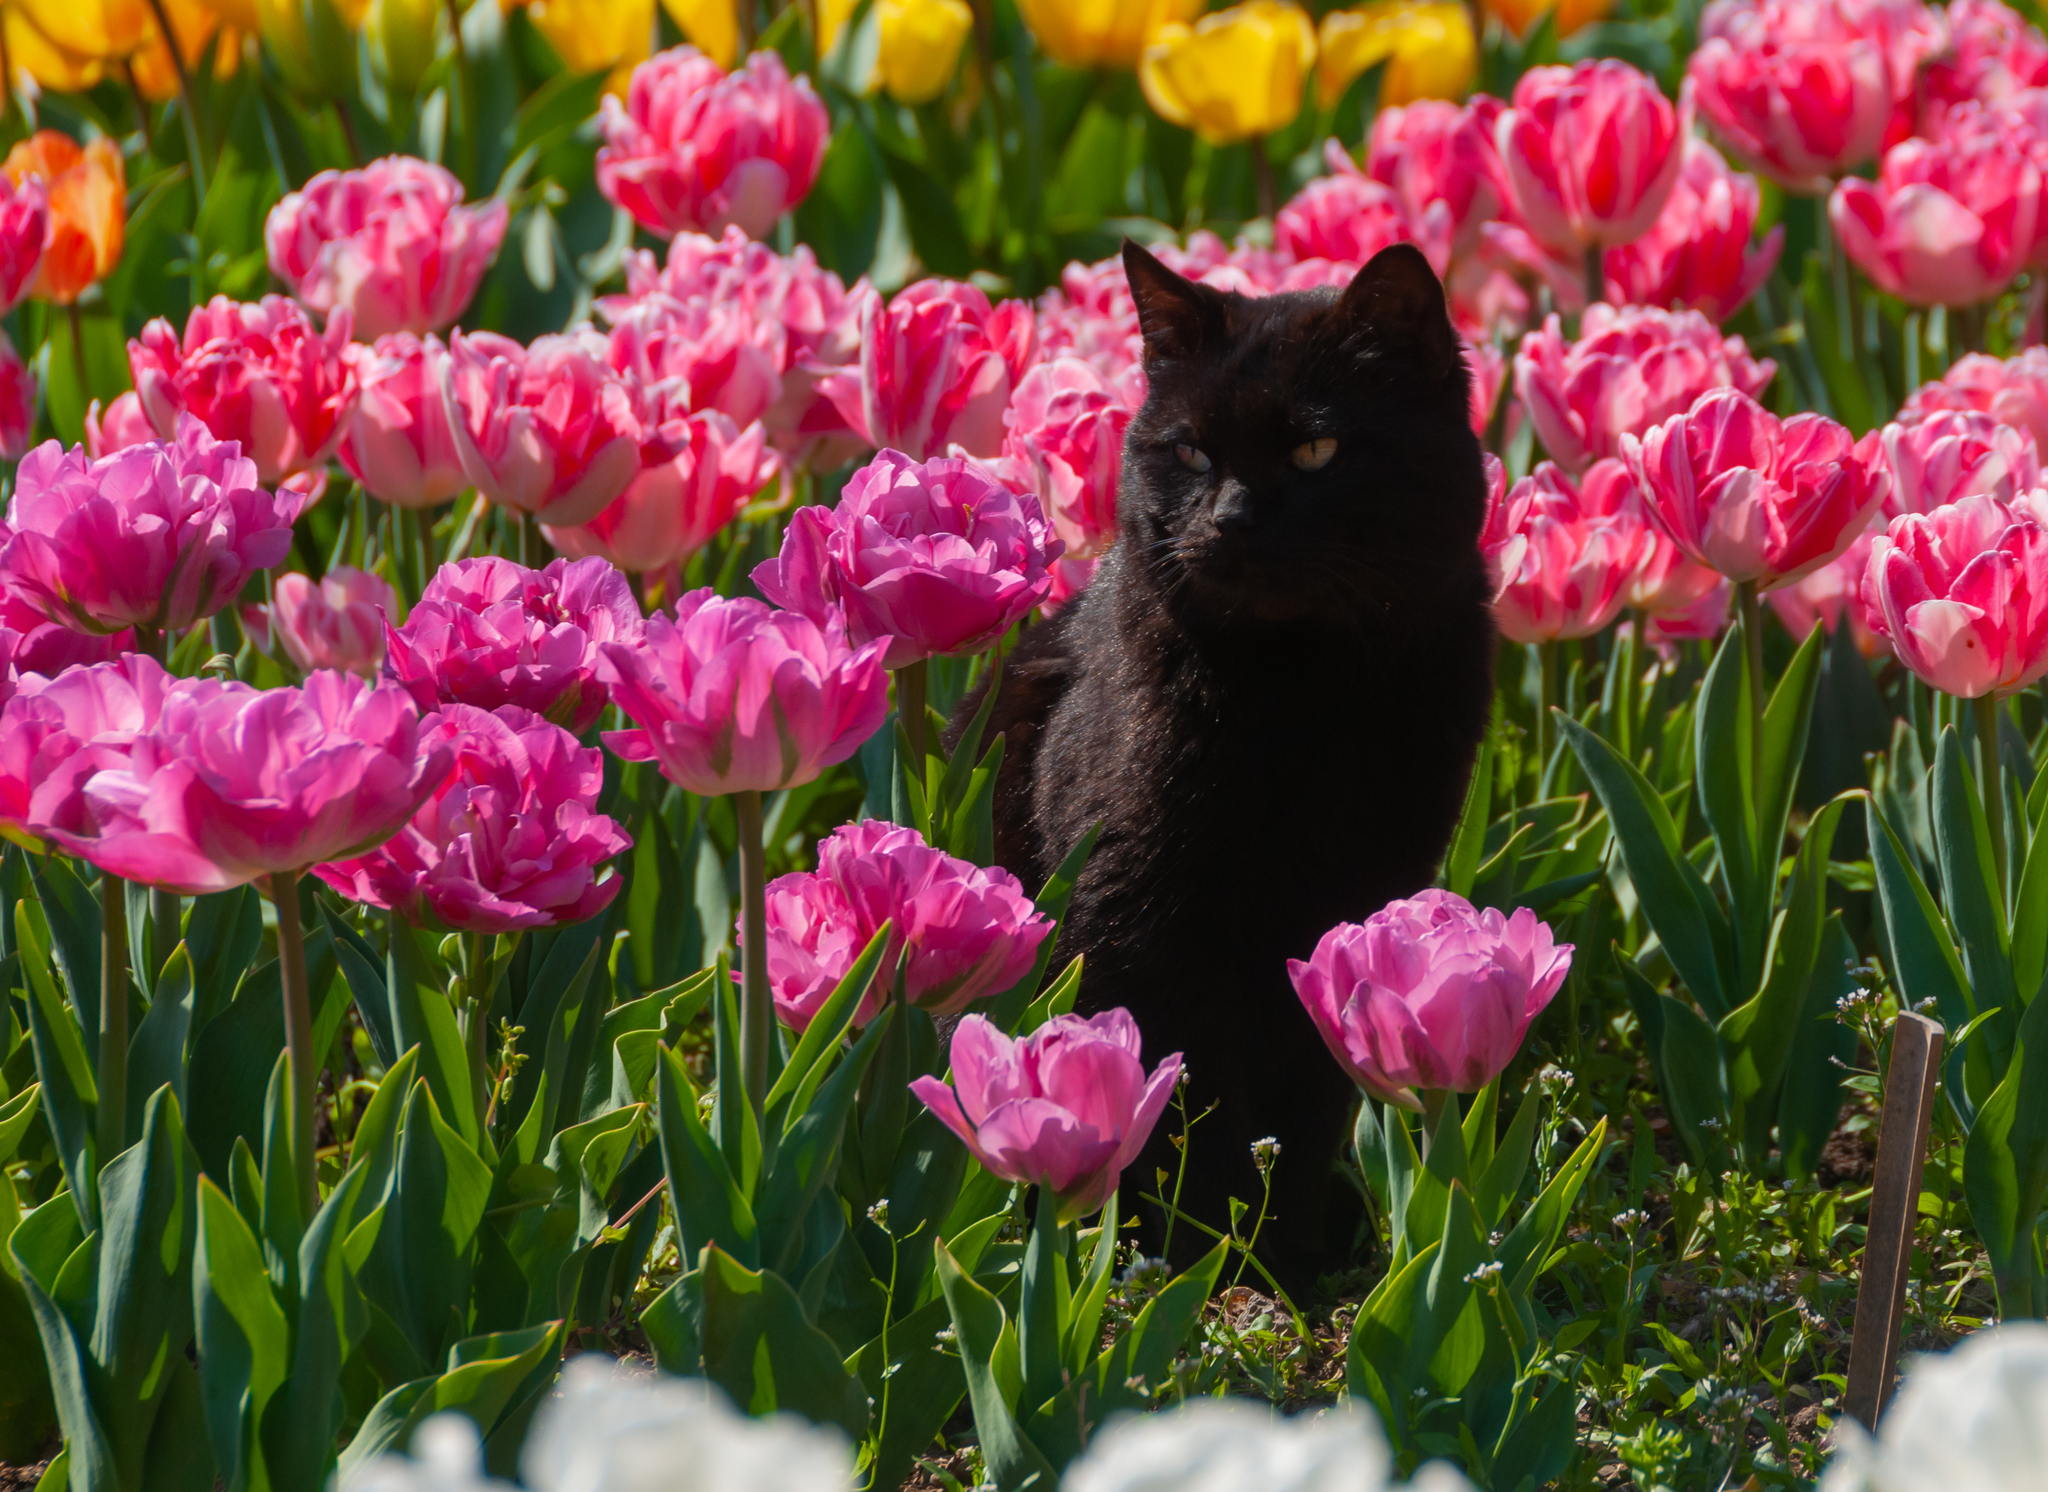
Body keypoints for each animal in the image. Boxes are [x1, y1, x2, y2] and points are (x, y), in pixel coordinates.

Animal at [950, 238, 1499, 1285]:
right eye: (1191, 452)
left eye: (1317, 450)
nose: (1232, 519)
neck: (1307, 694)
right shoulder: (1145, 914)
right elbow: (1192, 1108)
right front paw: (1216, 1262)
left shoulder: (1351, 907)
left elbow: (1307, 1104)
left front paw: (1290, 1261)